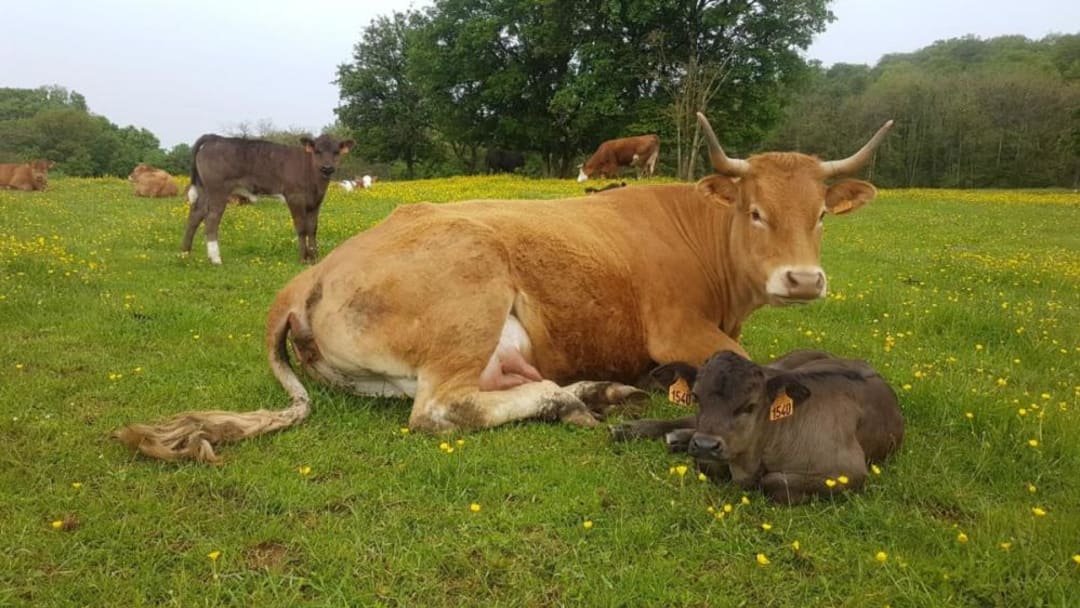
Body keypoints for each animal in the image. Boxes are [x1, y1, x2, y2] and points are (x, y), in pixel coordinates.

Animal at [182, 133, 354, 265]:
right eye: (317, 151)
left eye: (336, 152)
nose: (327, 167)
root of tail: (215, 138)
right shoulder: (295, 197)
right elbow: (301, 228)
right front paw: (303, 259)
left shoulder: (316, 201)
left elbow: (312, 229)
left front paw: (315, 258)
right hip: (218, 191)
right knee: (211, 219)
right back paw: (216, 259)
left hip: (205, 190)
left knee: (196, 215)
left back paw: (185, 253)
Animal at [611, 350, 904, 505]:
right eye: (696, 396)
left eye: (750, 406)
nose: (705, 445)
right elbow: (707, 463)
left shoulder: (850, 472)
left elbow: (771, 480)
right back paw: (629, 429)